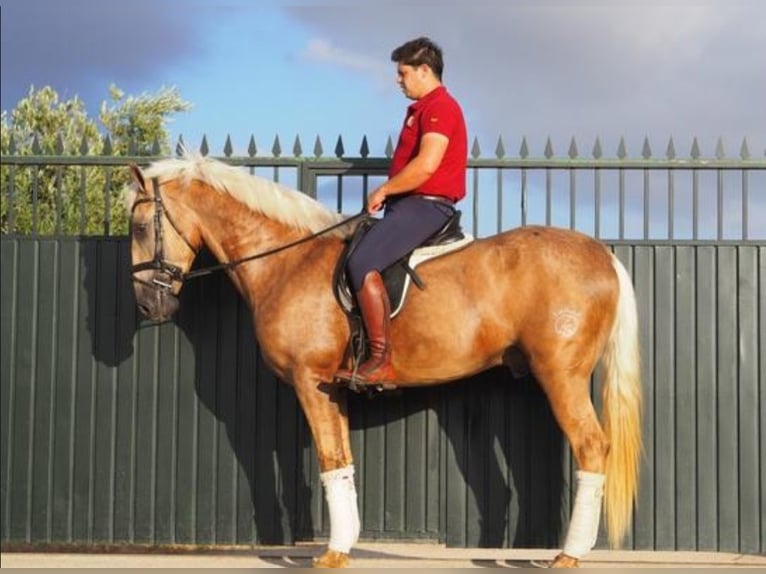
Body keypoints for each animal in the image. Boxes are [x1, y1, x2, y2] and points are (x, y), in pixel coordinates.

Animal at [126, 154, 640, 572]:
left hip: (561, 377)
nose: (148, 305)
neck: (291, 261)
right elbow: (342, 462)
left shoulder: (310, 381)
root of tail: (603, 255)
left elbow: (330, 458)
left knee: (591, 447)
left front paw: (333, 553)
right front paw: (344, 544)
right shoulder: (330, 387)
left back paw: (568, 554)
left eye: (138, 228)